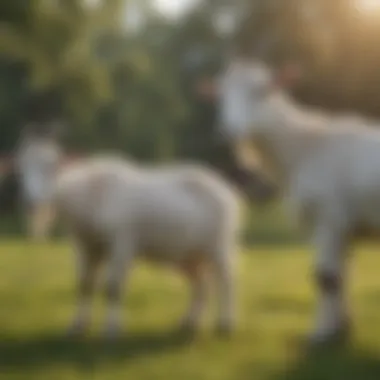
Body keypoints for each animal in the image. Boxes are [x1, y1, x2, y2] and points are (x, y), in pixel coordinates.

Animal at [202, 58, 380, 346]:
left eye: (262, 91)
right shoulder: (343, 226)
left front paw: (320, 335)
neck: (306, 148)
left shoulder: (328, 217)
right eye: (220, 96)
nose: (227, 130)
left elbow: (326, 278)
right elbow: (342, 276)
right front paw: (342, 327)